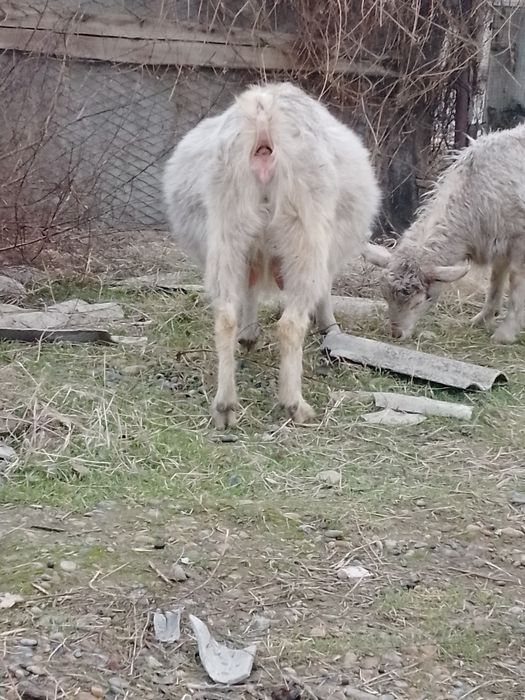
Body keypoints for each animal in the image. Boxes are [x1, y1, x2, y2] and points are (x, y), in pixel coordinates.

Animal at [163, 82, 380, 427]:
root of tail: (263, 115)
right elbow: (323, 292)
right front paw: (329, 327)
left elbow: (249, 290)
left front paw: (249, 336)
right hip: (303, 229)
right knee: (290, 324)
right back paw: (295, 405)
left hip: (228, 224)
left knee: (225, 314)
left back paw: (225, 405)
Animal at [365, 123, 525, 343]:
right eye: (385, 296)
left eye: (420, 301)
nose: (396, 334)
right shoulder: (499, 239)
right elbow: (496, 280)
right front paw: (482, 319)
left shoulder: (519, 240)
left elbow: (517, 286)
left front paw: (505, 334)